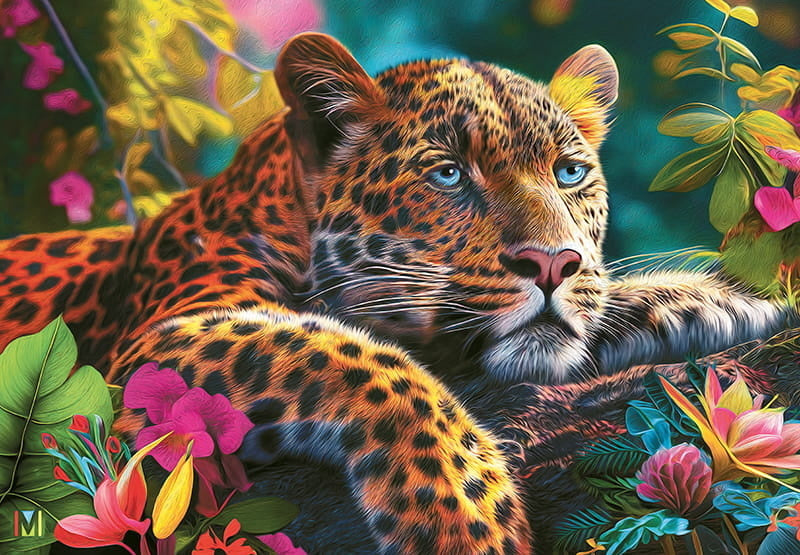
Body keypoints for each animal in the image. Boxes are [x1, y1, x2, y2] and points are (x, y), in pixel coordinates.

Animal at [0, 33, 792, 553]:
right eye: (448, 174)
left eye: (569, 173)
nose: (554, 262)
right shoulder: (148, 351)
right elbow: (351, 355)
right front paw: (470, 517)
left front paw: (711, 298)